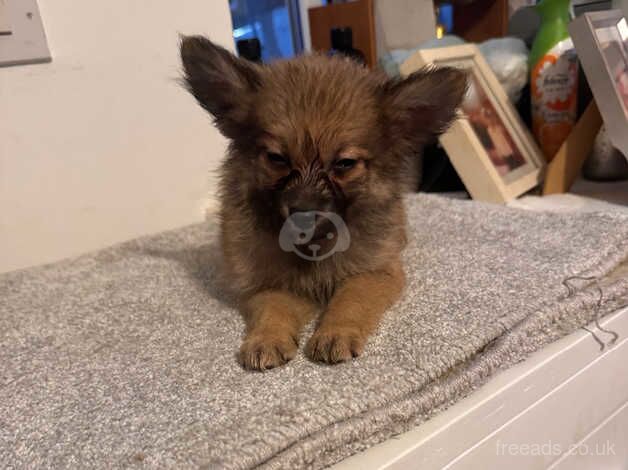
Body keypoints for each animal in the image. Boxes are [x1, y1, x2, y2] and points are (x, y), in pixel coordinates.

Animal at [180, 36, 466, 370]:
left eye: (344, 164)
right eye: (276, 158)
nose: (302, 214)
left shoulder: (375, 272)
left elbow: (351, 299)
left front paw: (335, 333)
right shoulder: (265, 284)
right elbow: (272, 309)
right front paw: (266, 339)